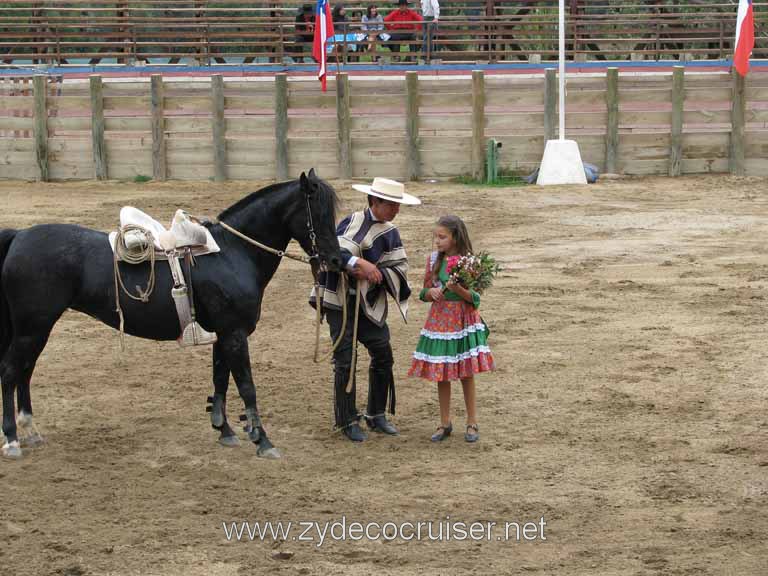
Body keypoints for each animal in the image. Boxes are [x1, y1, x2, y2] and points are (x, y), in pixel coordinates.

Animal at [0, 170, 342, 460]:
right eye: (318, 212)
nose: (337, 259)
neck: (232, 252)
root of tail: (19, 236)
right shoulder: (234, 334)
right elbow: (246, 385)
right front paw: (263, 440)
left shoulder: (222, 334)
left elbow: (220, 381)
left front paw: (225, 430)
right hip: (33, 329)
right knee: (10, 371)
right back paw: (13, 439)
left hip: (34, 330)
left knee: (25, 372)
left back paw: (30, 430)